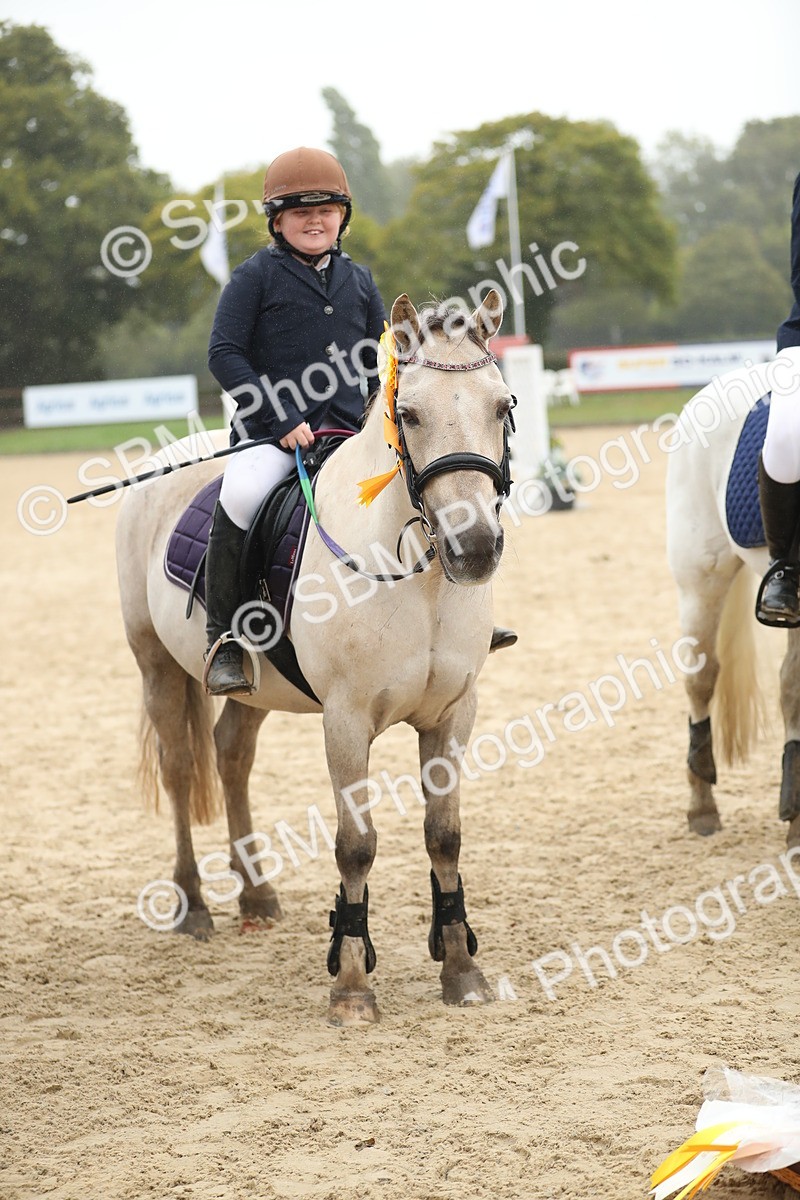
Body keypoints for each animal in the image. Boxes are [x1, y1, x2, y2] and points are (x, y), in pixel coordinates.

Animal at [115, 290, 515, 1025]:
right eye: (409, 414)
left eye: (501, 405)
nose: (473, 547)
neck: (417, 578)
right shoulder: (346, 720)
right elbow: (355, 846)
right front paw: (352, 987)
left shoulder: (452, 713)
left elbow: (444, 836)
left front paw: (462, 971)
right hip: (155, 666)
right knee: (181, 769)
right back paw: (194, 905)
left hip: (254, 690)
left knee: (231, 754)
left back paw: (256, 895)